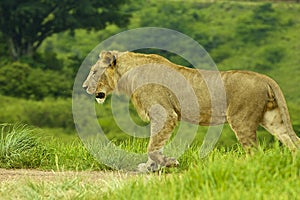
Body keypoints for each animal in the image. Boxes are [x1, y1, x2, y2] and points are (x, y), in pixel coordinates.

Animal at [82, 50, 300, 172]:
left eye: (94, 72)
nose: (84, 87)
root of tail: (264, 77)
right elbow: (155, 144)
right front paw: (151, 167)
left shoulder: (165, 114)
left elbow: (152, 145)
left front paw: (167, 163)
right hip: (273, 119)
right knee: (293, 141)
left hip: (242, 119)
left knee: (254, 151)